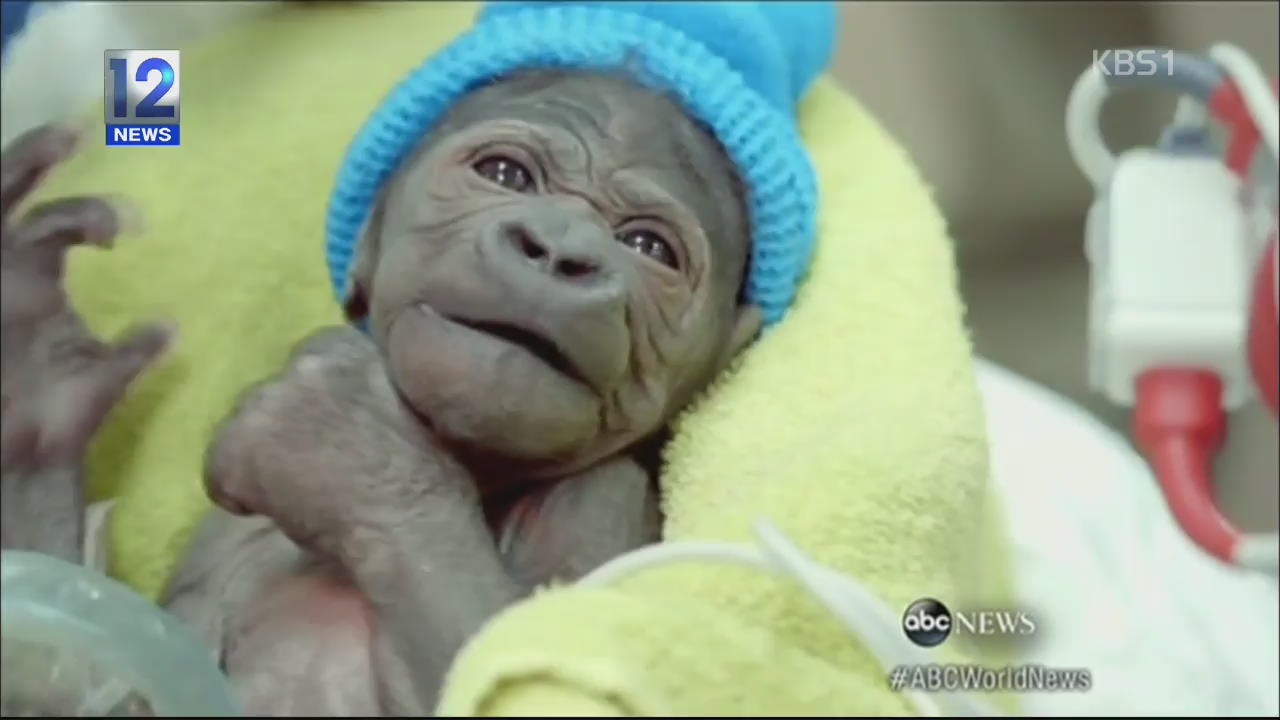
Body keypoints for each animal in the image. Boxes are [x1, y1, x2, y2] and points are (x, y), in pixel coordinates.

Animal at [160, 70, 757, 712]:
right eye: (504, 175)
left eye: (648, 247)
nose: (557, 250)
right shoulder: (216, 542)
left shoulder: (605, 497)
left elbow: (538, 679)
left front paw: (343, 446)